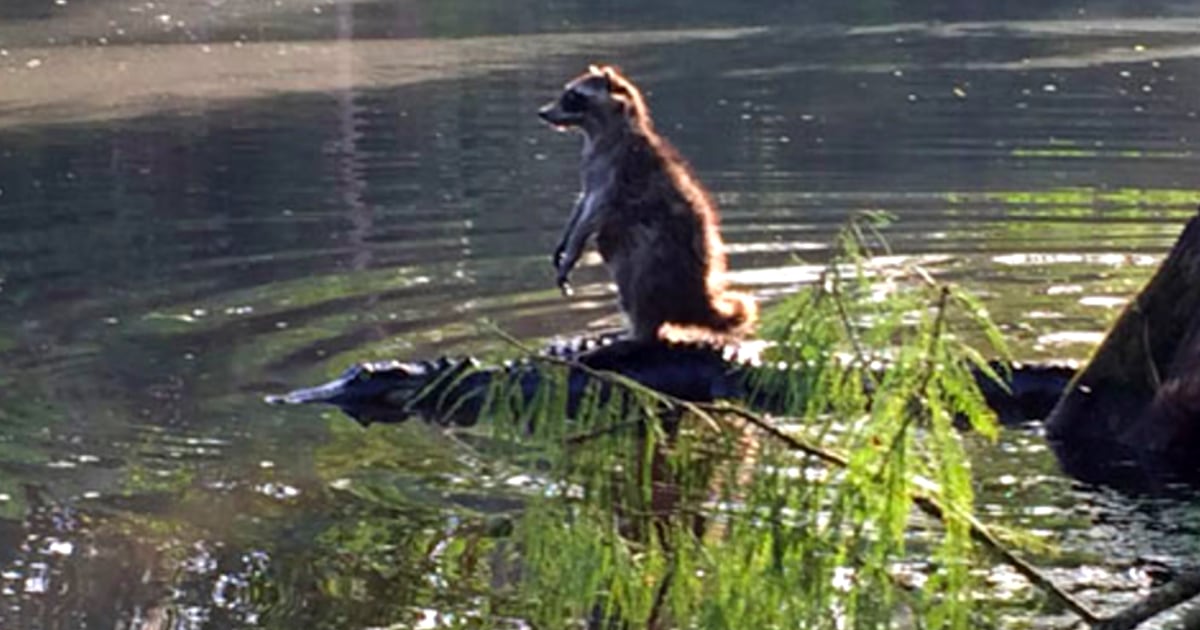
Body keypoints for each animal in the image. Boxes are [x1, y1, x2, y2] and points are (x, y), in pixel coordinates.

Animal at [538, 64, 757, 342]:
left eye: (572, 96)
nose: (542, 113)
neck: (599, 132)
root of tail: (696, 299)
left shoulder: (615, 169)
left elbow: (593, 211)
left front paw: (572, 251)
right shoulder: (592, 168)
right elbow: (582, 202)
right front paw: (564, 240)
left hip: (659, 259)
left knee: (636, 269)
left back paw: (638, 330)